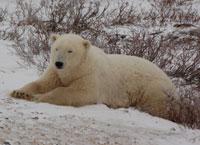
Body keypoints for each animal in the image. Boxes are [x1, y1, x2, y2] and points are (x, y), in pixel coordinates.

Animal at [10, 33, 177, 118]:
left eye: (70, 51)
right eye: (56, 48)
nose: (59, 63)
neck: (76, 68)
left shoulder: (89, 75)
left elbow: (78, 93)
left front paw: (38, 97)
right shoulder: (55, 73)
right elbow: (42, 83)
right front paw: (20, 92)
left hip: (153, 87)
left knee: (155, 105)